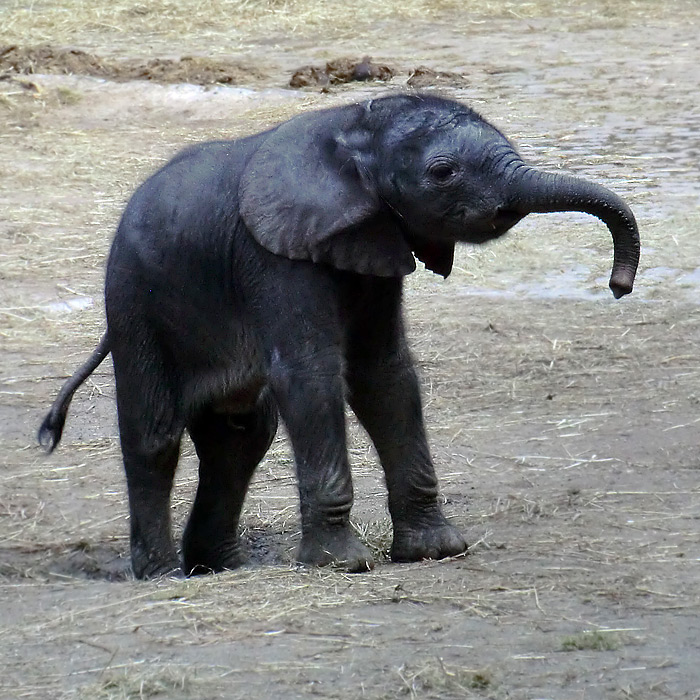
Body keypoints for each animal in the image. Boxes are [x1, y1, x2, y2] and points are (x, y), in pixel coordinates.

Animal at [38, 93, 640, 580]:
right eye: (443, 171)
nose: (619, 284)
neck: (355, 128)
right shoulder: (273, 255)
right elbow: (310, 375)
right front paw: (343, 565)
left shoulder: (376, 243)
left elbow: (384, 373)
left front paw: (435, 551)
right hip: (134, 302)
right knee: (155, 433)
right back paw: (162, 575)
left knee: (240, 437)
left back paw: (219, 569)